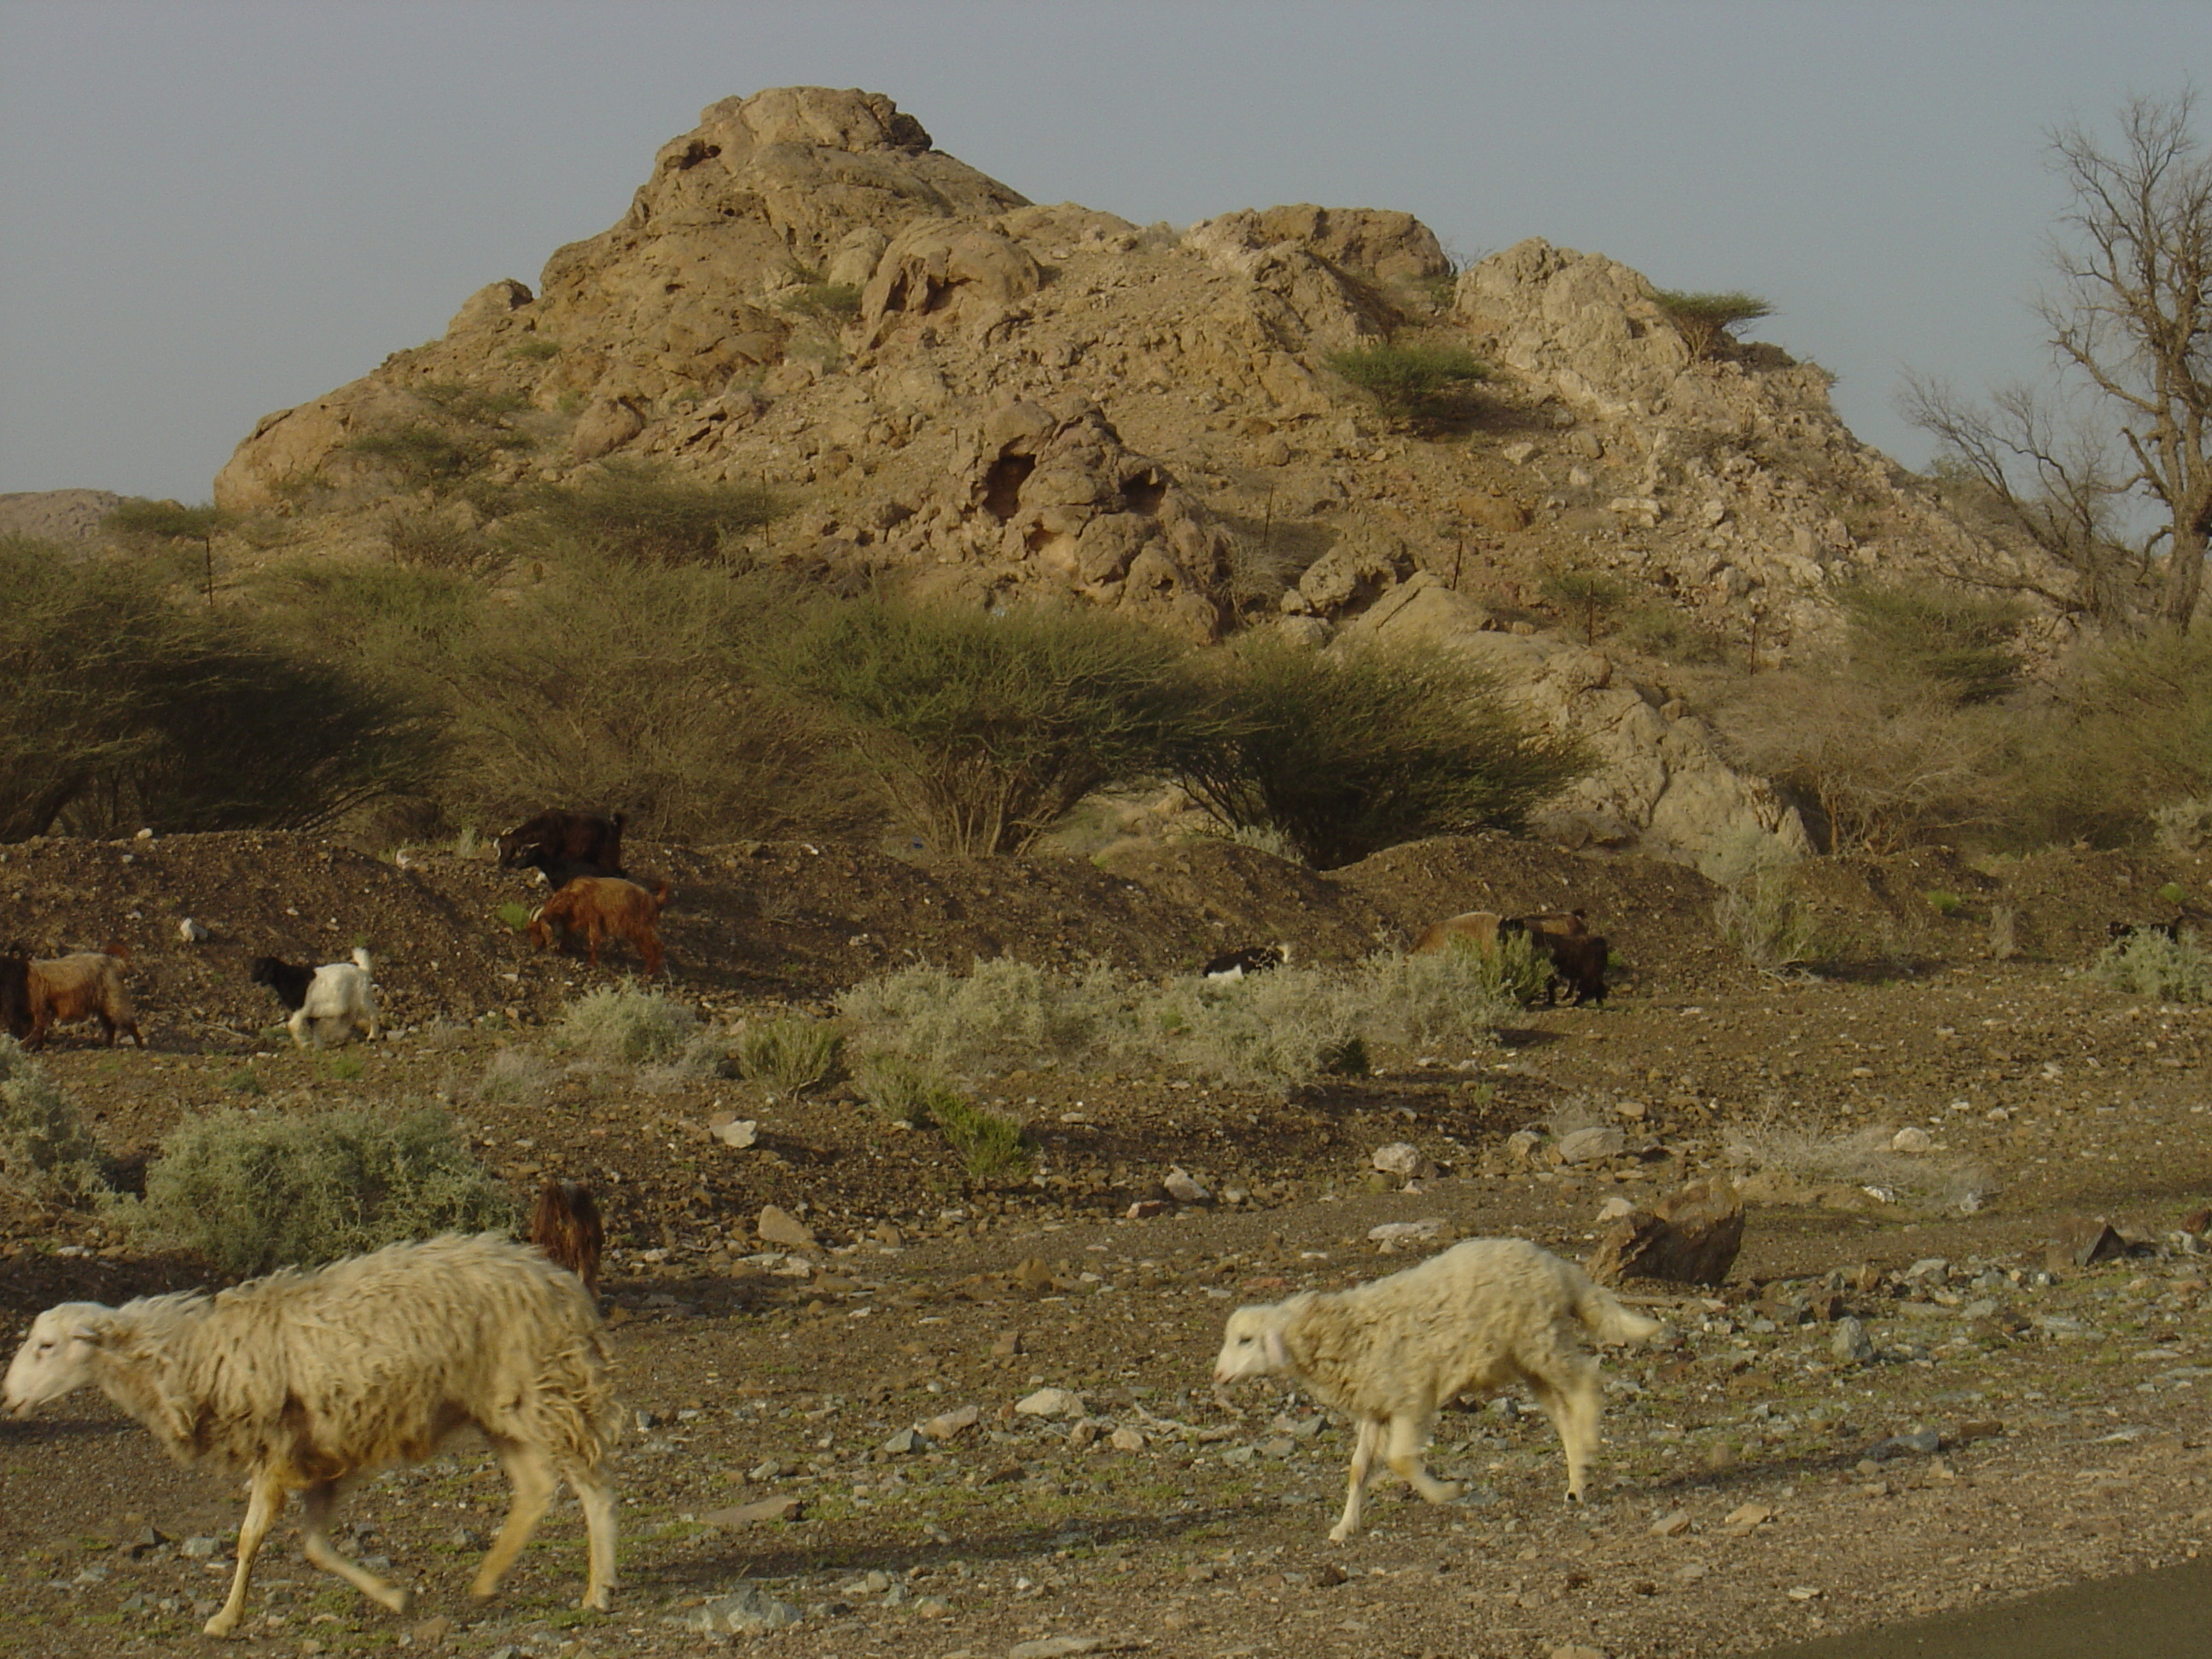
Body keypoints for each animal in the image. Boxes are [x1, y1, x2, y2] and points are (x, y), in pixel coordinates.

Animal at [6, 1238, 623, 1637]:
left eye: (46, 1346)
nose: (7, 1397)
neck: (191, 1356)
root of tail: (557, 1277)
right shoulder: (321, 1453)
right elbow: (314, 1547)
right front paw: (393, 1595)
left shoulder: (278, 1449)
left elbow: (251, 1538)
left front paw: (224, 1619)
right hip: (497, 1407)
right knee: (536, 1487)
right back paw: (489, 1579)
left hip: (542, 1388)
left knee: (593, 1486)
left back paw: (598, 1590)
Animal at [25, 946, 140, 1052]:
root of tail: (116, 963)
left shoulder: (40, 1004)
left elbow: (38, 1026)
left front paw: (32, 1046)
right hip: (103, 1002)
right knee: (109, 1023)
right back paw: (108, 1044)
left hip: (112, 996)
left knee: (125, 1018)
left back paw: (139, 1044)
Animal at [1220, 1238, 1663, 1540]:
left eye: (1246, 1340)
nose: (1219, 1376)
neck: (1333, 1333)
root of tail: (1559, 1267)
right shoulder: (1376, 1406)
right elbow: (1358, 1469)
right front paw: (1346, 1526)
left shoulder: (1411, 1397)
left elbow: (1399, 1460)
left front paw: (1445, 1492)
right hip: (1527, 1357)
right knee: (1562, 1410)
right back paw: (1577, 1481)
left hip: (1541, 1337)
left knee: (1586, 1381)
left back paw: (1588, 1445)